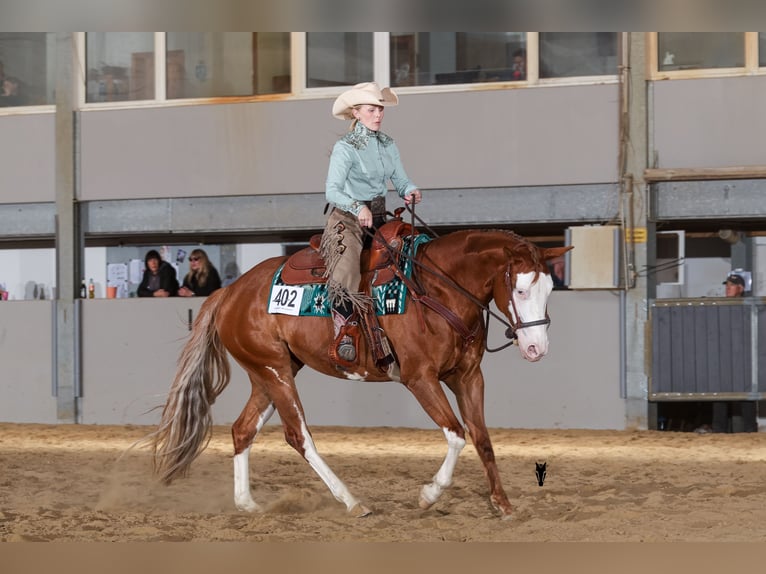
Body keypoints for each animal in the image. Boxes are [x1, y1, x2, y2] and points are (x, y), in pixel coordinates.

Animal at [151, 226, 571, 519]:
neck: (437, 292)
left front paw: (503, 504)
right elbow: (457, 435)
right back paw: (352, 502)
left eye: (550, 289)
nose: (537, 348)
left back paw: (248, 504)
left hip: (269, 372)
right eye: (520, 290)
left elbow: (482, 439)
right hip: (274, 371)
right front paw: (429, 494)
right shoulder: (420, 379)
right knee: (299, 436)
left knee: (243, 430)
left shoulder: (468, 376)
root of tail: (229, 292)